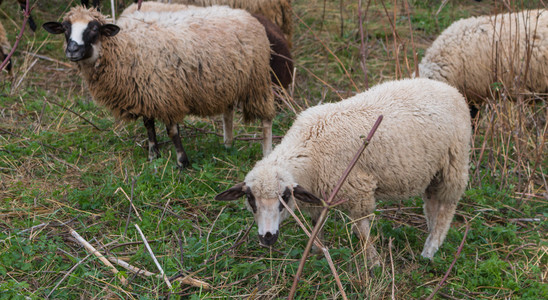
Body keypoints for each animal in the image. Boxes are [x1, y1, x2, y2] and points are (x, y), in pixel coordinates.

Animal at [42, 5, 274, 169]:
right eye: (65, 28)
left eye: (94, 28)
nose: (72, 50)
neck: (126, 48)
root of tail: (246, 14)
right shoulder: (145, 93)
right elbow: (149, 126)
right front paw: (153, 155)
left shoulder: (166, 93)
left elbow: (172, 131)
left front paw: (182, 162)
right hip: (227, 82)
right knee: (228, 113)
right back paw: (227, 144)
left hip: (258, 81)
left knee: (266, 120)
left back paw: (267, 152)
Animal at [214, 78, 470, 264]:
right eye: (250, 198)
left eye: (285, 197)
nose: (267, 238)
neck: (309, 147)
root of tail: (449, 88)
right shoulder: (317, 194)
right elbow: (317, 225)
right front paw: (317, 253)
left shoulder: (358, 190)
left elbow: (363, 230)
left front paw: (373, 262)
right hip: (433, 169)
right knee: (432, 201)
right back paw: (431, 230)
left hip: (454, 162)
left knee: (447, 205)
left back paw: (430, 248)